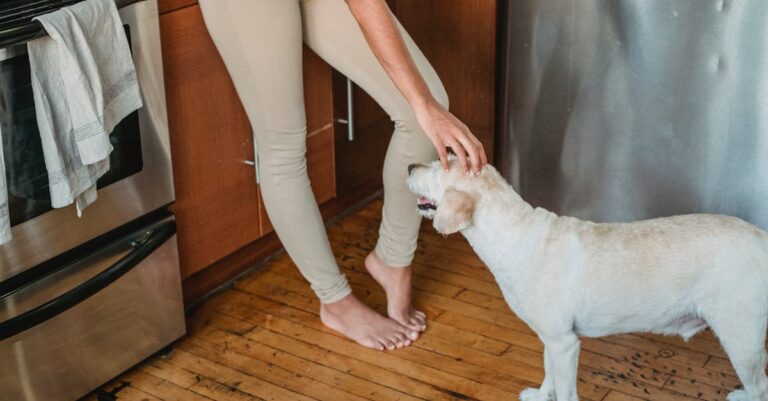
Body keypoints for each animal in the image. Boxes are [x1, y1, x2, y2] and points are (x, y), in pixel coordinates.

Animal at [407, 158, 768, 401]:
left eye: (439, 167)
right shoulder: (552, 338)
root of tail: (761, 237)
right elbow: (549, 374)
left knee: (760, 385)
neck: (516, 235)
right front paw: (541, 395)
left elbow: (565, 390)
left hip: (741, 338)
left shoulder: (565, 345)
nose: (409, 166)